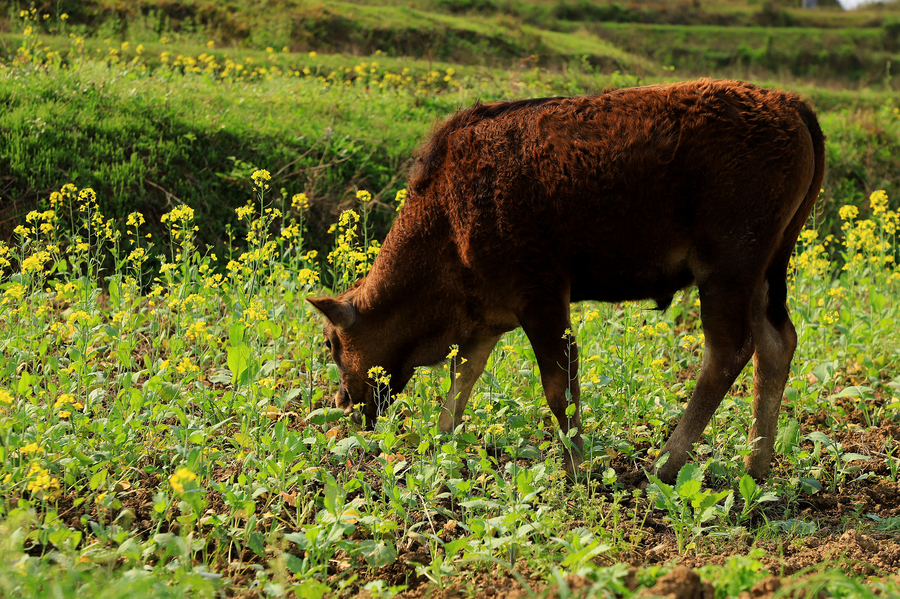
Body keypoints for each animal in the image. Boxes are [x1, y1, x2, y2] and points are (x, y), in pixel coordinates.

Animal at [310, 78, 824, 482]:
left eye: (334, 343)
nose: (344, 404)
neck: (446, 214)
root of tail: (788, 103)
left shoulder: (540, 301)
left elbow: (559, 387)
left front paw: (576, 469)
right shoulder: (488, 318)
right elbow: (463, 381)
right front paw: (439, 445)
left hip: (727, 272)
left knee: (727, 353)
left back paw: (664, 465)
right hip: (762, 275)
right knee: (776, 344)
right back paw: (755, 467)